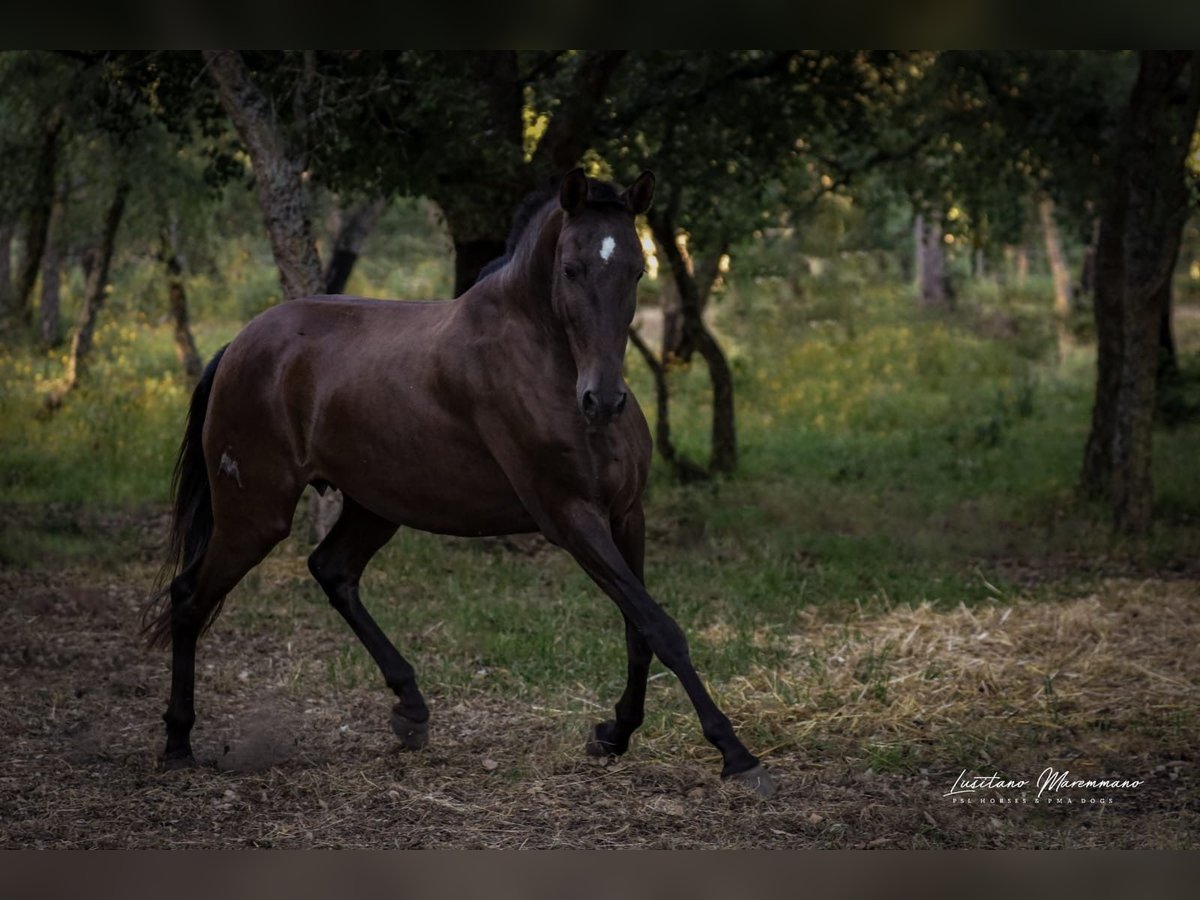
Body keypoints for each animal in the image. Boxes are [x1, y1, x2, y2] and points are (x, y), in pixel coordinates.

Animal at [145, 169, 777, 796]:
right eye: (570, 268)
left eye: (637, 270)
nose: (603, 401)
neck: (545, 361)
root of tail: (239, 345)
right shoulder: (572, 517)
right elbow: (661, 627)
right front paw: (735, 754)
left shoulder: (626, 515)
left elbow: (638, 630)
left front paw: (614, 734)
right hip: (256, 513)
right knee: (189, 597)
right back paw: (177, 743)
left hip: (375, 506)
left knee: (332, 571)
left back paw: (411, 709)